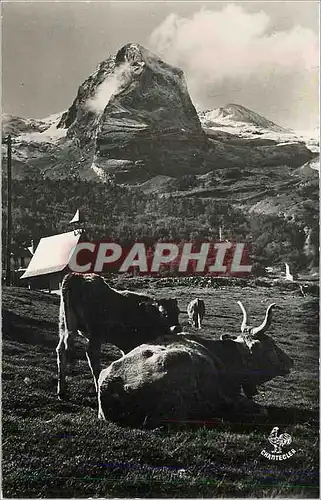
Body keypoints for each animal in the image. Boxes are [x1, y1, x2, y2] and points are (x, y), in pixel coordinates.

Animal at [55, 272, 180, 400]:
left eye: (178, 312)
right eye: (164, 314)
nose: (177, 328)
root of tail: (76, 275)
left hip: (64, 326)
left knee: (61, 351)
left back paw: (61, 391)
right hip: (96, 333)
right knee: (92, 355)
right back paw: (97, 388)